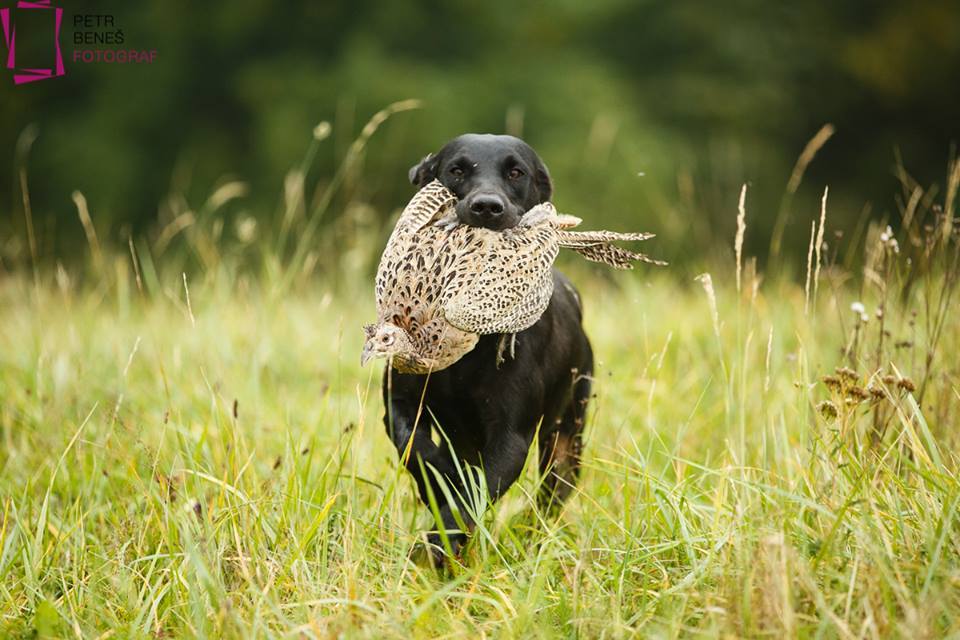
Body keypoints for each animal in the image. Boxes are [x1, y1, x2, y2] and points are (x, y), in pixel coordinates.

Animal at [382, 134, 592, 560]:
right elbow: (417, 448)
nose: (486, 207)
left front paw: (441, 543)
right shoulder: (399, 399)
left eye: (516, 172)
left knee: (552, 495)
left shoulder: (511, 437)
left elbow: (475, 495)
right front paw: (441, 480)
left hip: (567, 437)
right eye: (456, 170)